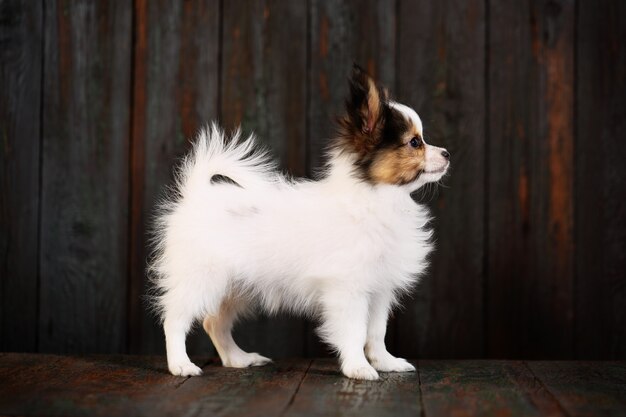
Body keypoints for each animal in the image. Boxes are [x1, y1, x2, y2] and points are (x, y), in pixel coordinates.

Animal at [151, 65, 448, 380]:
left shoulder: (379, 289)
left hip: (236, 286)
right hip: (200, 278)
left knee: (214, 323)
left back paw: (238, 358)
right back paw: (180, 364)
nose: (447, 153)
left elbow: (376, 332)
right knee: (175, 319)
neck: (377, 199)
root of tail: (196, 195)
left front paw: (386, 362)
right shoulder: (348, 289)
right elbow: (355, 331)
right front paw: (358, 368)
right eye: (415, 142)